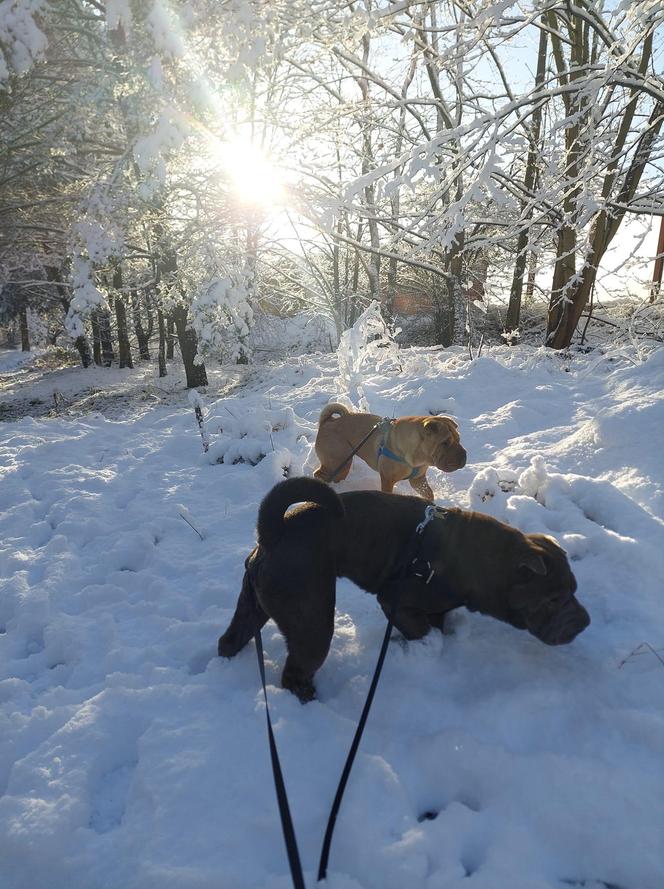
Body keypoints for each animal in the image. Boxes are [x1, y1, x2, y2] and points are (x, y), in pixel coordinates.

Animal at [219, 476, 592, 696]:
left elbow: (438, 625)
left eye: (575, 589)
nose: (584, 622)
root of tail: (274, 532)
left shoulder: (436, 606)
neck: (483, 562)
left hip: (254, 605)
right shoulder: (396, 600)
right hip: (311, 620)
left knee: (231, 639)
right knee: (296, 671)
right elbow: (422, 631)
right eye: (554, 598)